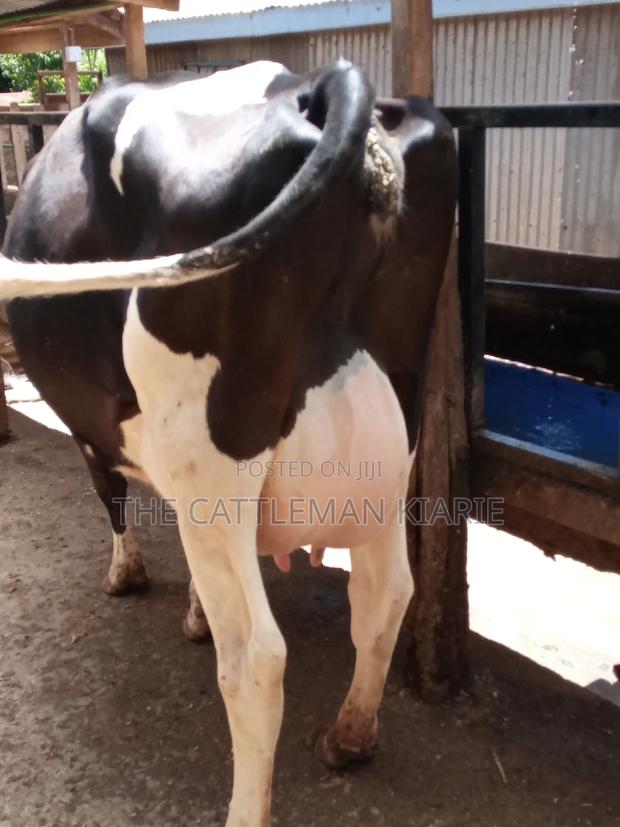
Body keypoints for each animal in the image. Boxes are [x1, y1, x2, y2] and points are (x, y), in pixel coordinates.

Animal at [0, 60, 456, 826]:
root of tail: (318, 85)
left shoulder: (98, 436)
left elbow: (112, 497)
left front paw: (127, 576)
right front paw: (190, 610)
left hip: (210, 452)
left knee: (257, 657)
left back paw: (247, 807)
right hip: (397, 433)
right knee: (387, 591)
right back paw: (350, 735)